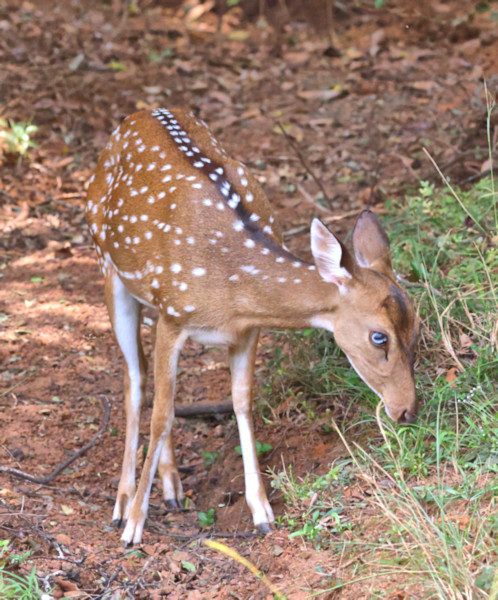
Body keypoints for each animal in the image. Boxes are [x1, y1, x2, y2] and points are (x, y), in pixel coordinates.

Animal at [84, 106, 416, 544]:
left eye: (416, 322)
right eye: (379, 336)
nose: (408, 410)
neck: (232, 288)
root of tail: (138, 114)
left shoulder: (246, 330)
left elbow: (242, 402)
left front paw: (261, 511)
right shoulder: (174, 315)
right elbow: (162, 416)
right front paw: (135, 526)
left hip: (150, 300)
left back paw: (172, 488)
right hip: (110, 269)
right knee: (135, 381)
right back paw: (123, 504)